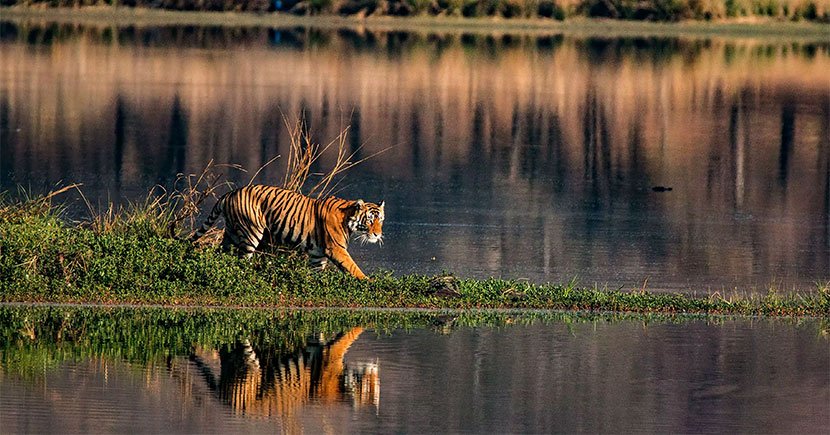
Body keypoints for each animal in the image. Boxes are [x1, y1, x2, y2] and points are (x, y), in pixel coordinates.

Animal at [193, 183, 386, 280]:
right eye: (370, 220)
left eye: (381, 220)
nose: (377, 234)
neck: (348, 218)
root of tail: (230, 193)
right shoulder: (336, 249)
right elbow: (353, 268)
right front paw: (368, 282)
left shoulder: (318, 255)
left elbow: (317, 274)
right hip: (251, 232)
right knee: (242, 260)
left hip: (231, 233)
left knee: (221, 255)